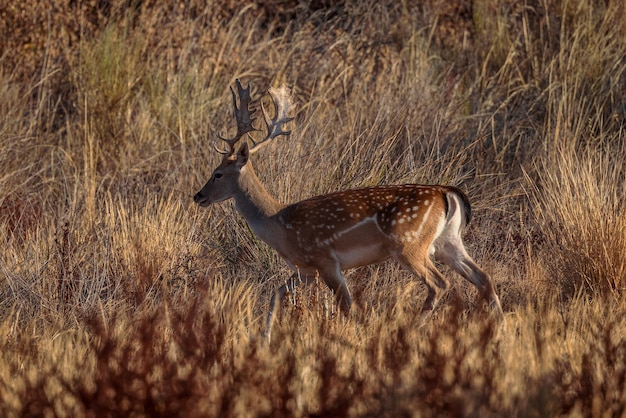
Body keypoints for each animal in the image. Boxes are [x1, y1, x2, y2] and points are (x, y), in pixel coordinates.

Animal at [193, 80, 504, 338]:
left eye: (217, 173)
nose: (198, 196)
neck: (279, 223)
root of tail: (447, 192)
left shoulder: (325, 260)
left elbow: (346, 306)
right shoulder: (306, 269)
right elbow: (277, 294)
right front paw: (264, 338)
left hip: (409, 244)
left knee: (439, 284)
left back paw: (412, 329)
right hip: (448, 242)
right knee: (484, 277)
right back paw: (499, 329)